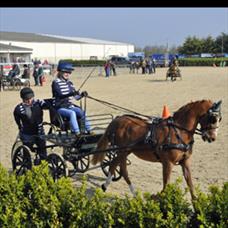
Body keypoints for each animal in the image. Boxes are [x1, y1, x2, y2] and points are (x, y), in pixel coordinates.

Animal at [91, 100, 222, 200]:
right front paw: (158, 198)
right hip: (122, 151)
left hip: (125, 151)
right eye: (212, 118)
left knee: (114, 165)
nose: (212, 138)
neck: (178, 131)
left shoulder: (185, 162)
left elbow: (190, 184)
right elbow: (166, 185)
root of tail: (117, 120)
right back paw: (132, 192)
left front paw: (196, 206)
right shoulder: (168, 163)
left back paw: (107, 186)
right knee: (121, 169)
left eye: (220, 118)